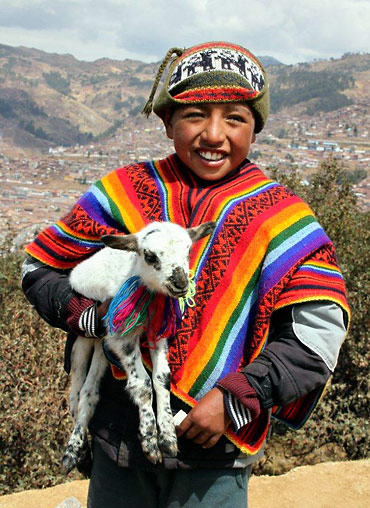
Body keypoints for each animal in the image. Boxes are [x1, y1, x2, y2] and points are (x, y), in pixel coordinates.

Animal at [62, 219, 215, 472]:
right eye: (150, 256)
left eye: (188, 251)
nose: (180, 283)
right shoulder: (121, 336)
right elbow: (142, 384)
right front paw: (150, 442)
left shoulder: (157, 332)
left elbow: (162, 377)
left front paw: (168, 438)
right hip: (84, 338)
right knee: (75, 392)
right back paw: (73, 452)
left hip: (102, 348)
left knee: (89, 392)